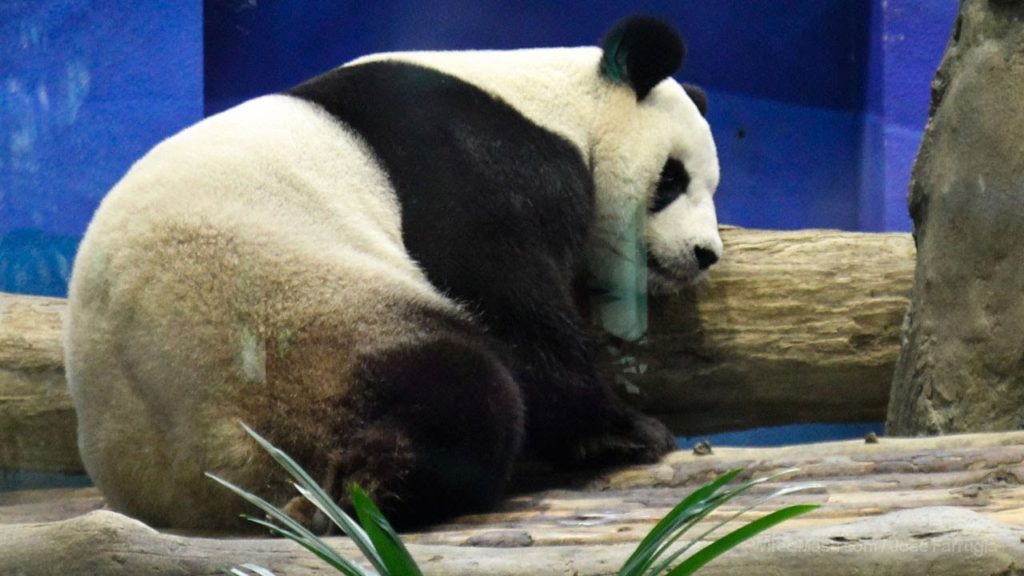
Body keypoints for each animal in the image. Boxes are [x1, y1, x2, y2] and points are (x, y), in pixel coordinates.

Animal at [64, 16, 722, 531]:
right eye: (673, 179)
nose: (704, 253)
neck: (559, 102)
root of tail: (205, 475)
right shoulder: (466, 160)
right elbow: (504, 293)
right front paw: (626, 432)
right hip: (304, 324)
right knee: (464, 388)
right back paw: (375, 484)